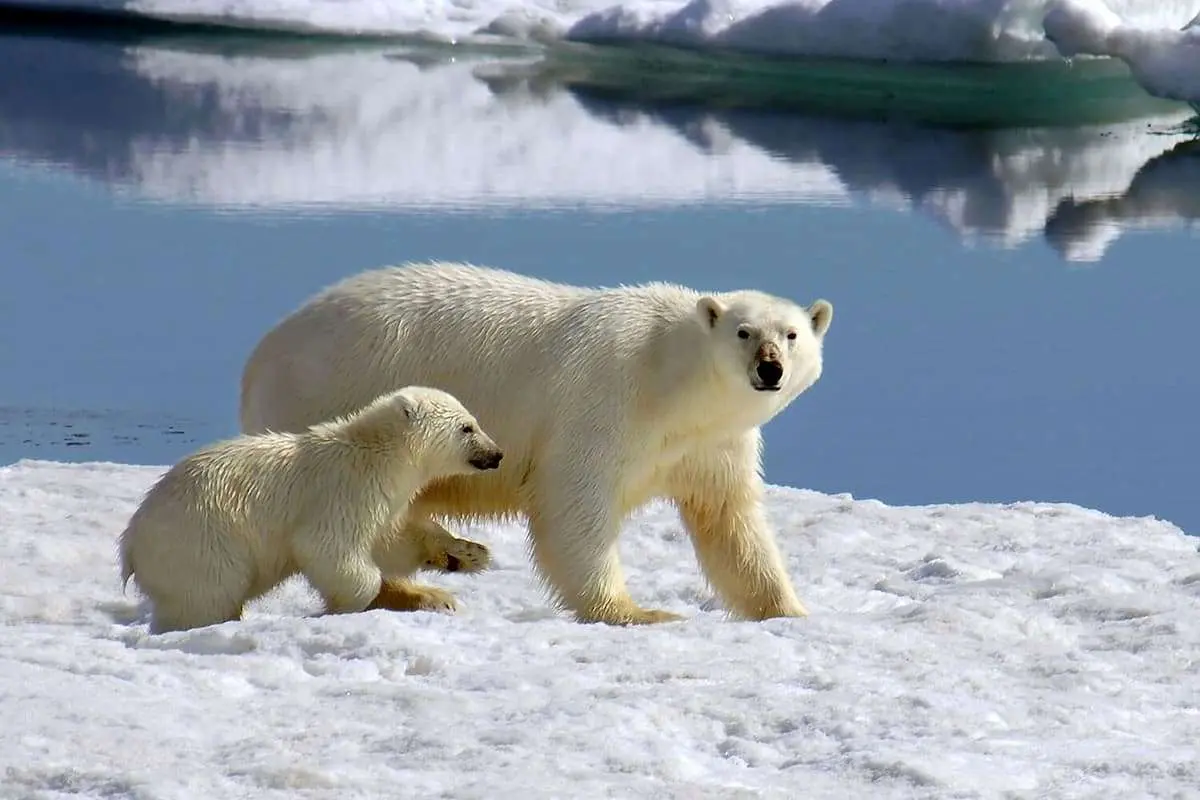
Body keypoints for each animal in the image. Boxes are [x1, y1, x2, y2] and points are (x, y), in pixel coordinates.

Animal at [118, 383, 501, 633]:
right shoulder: (341, 492)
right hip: (200, 543)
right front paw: (349, 604)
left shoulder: (378, 500)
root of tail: (130, 543)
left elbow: (392, 540)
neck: (377, 456)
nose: (497, 454)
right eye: (467, 427)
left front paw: (467, 553)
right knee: (205, 597)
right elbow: (326, 547)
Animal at [237, 262, 830, 623]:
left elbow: (730, 522)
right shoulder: (606, 397)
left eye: (792, 334)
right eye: (744, 332)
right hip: (329, 397)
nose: (770, 369)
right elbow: (575, 503)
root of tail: (260, 355)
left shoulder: (713, 444)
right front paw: (638, 611)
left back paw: (448, 560)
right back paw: (430, 577)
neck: (669, 380)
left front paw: (788, 610)